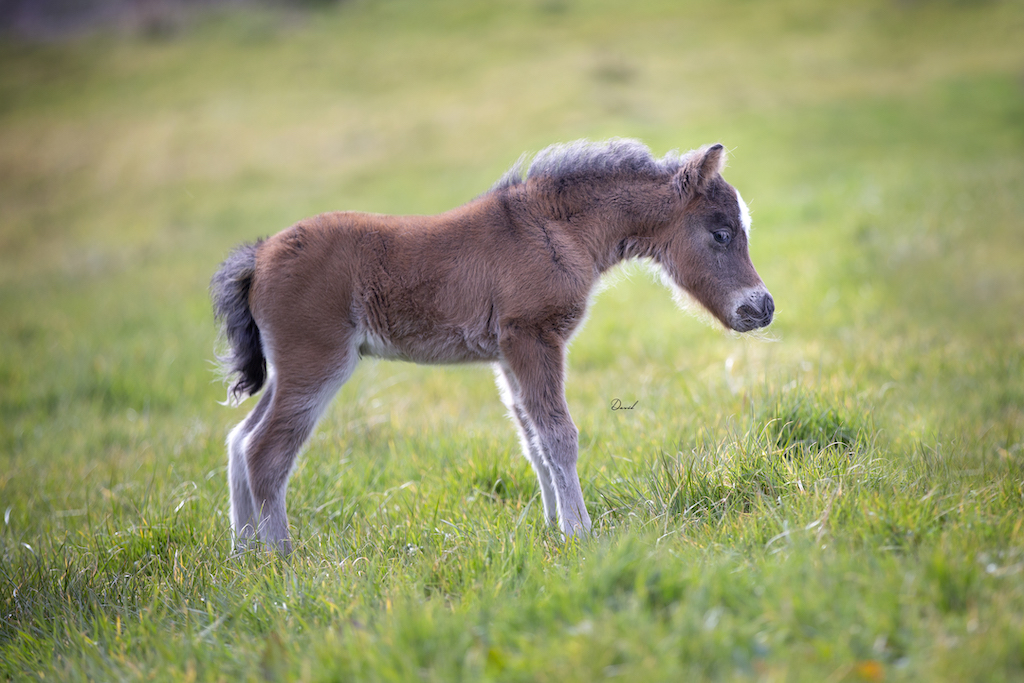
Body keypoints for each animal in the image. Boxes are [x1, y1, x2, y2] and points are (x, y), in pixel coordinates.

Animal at [211, 138, 774, 554]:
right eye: (721, 234)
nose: (763, 307)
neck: (556, 228)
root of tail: (259, 257)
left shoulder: (508, 354)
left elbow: (532, 440)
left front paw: (552, 528)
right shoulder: (533, 337)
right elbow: (559, 436)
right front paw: (580, 532)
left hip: (288, 369)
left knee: (239, 439)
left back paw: (244, 553)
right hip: (317, 362)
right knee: (266, 451)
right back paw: (281, 556)